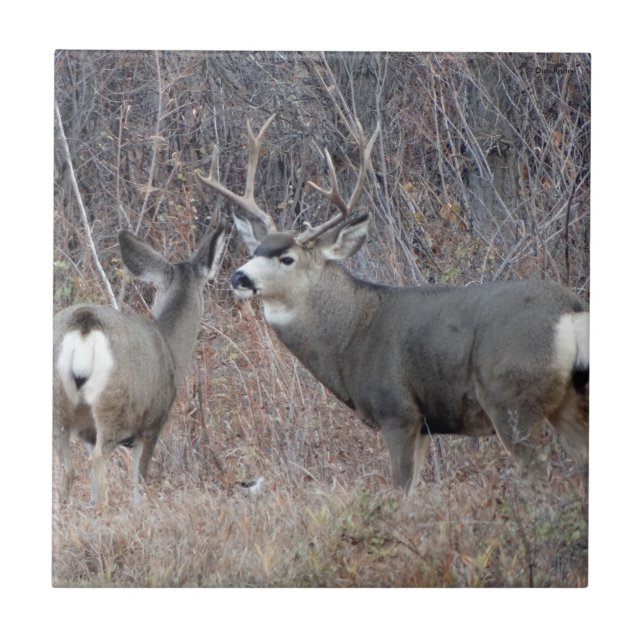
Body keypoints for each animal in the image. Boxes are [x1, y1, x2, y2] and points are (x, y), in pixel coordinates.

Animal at [53, 225, 226, 503]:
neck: (170, 347)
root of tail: (84, 325)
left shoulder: (89, 432)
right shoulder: (153, 421)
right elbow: (140, 482)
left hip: (58, 404)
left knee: (66, 469)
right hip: (112, 405)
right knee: (97, 463)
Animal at [196, 115, 589, 491]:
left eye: (287, 258)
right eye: (255, 251)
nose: (239, 277)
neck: (350, 334)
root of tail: (569, 311)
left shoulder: (398, 411)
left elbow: (401, 490)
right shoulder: (426, 425)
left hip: (511, 399)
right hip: (568, 401)